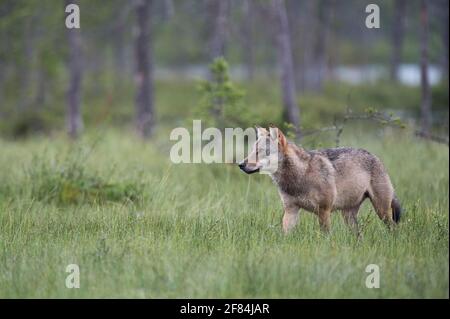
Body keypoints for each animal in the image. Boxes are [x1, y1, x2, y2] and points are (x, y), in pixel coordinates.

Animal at [237, 127, 402, 235]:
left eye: (260, 152)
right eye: (252, 151)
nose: (240, 164)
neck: (300, 176)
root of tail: (376, 157)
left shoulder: (324, 211)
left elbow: (325, 236)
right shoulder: (291, 210)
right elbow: (285, 234)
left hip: (382, 211)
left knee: (393, 228)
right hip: (348, 217)